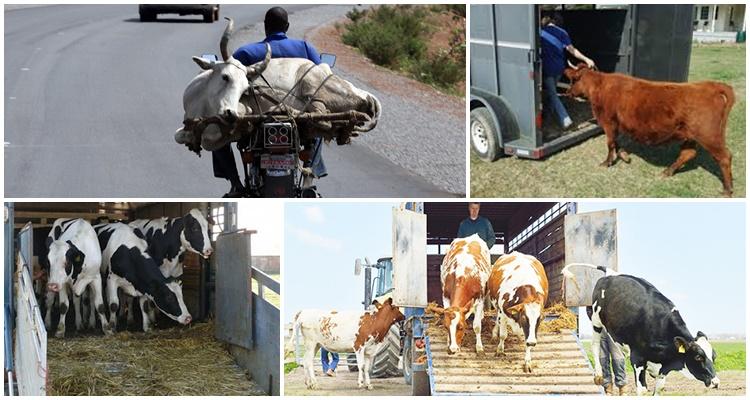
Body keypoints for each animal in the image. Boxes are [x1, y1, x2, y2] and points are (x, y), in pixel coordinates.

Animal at [564, 63, 736, 196]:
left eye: (573, 80)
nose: (567, 92)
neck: (600, 86)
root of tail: (708, 85)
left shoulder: (608, 123)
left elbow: (610, 144)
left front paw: (607, 162)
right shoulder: (615, 126)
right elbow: (616, 143)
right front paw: (624, 156)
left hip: (709, 136)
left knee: (724, 157)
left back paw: (728, 190)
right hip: (691, 136)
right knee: (688, 153)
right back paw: (668, 171)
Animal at [568, 266, 724, 394]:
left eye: (714, 356)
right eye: (698, 357)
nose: (716, 382)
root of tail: (611, 274)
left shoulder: (662, 370)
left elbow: (659, 389)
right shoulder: (637, 359)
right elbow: (642, 390)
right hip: (596, 320)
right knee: (595, 345)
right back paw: (598, 375)